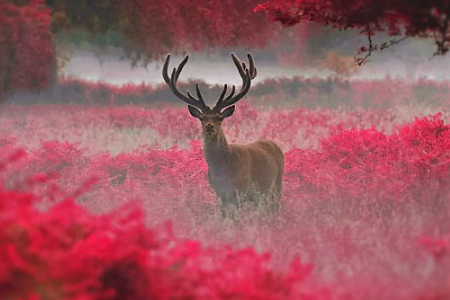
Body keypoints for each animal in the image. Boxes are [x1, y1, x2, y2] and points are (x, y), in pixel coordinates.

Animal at [162, 53, 284, 218]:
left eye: (219, 117)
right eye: (202, 118)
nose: (209, 126)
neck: (223, 172)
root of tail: (275, 145)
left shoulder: (240, 191)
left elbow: (236, 219)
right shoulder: (219, 194)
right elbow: (224, 216)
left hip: (277, 184)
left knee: (276, 206)